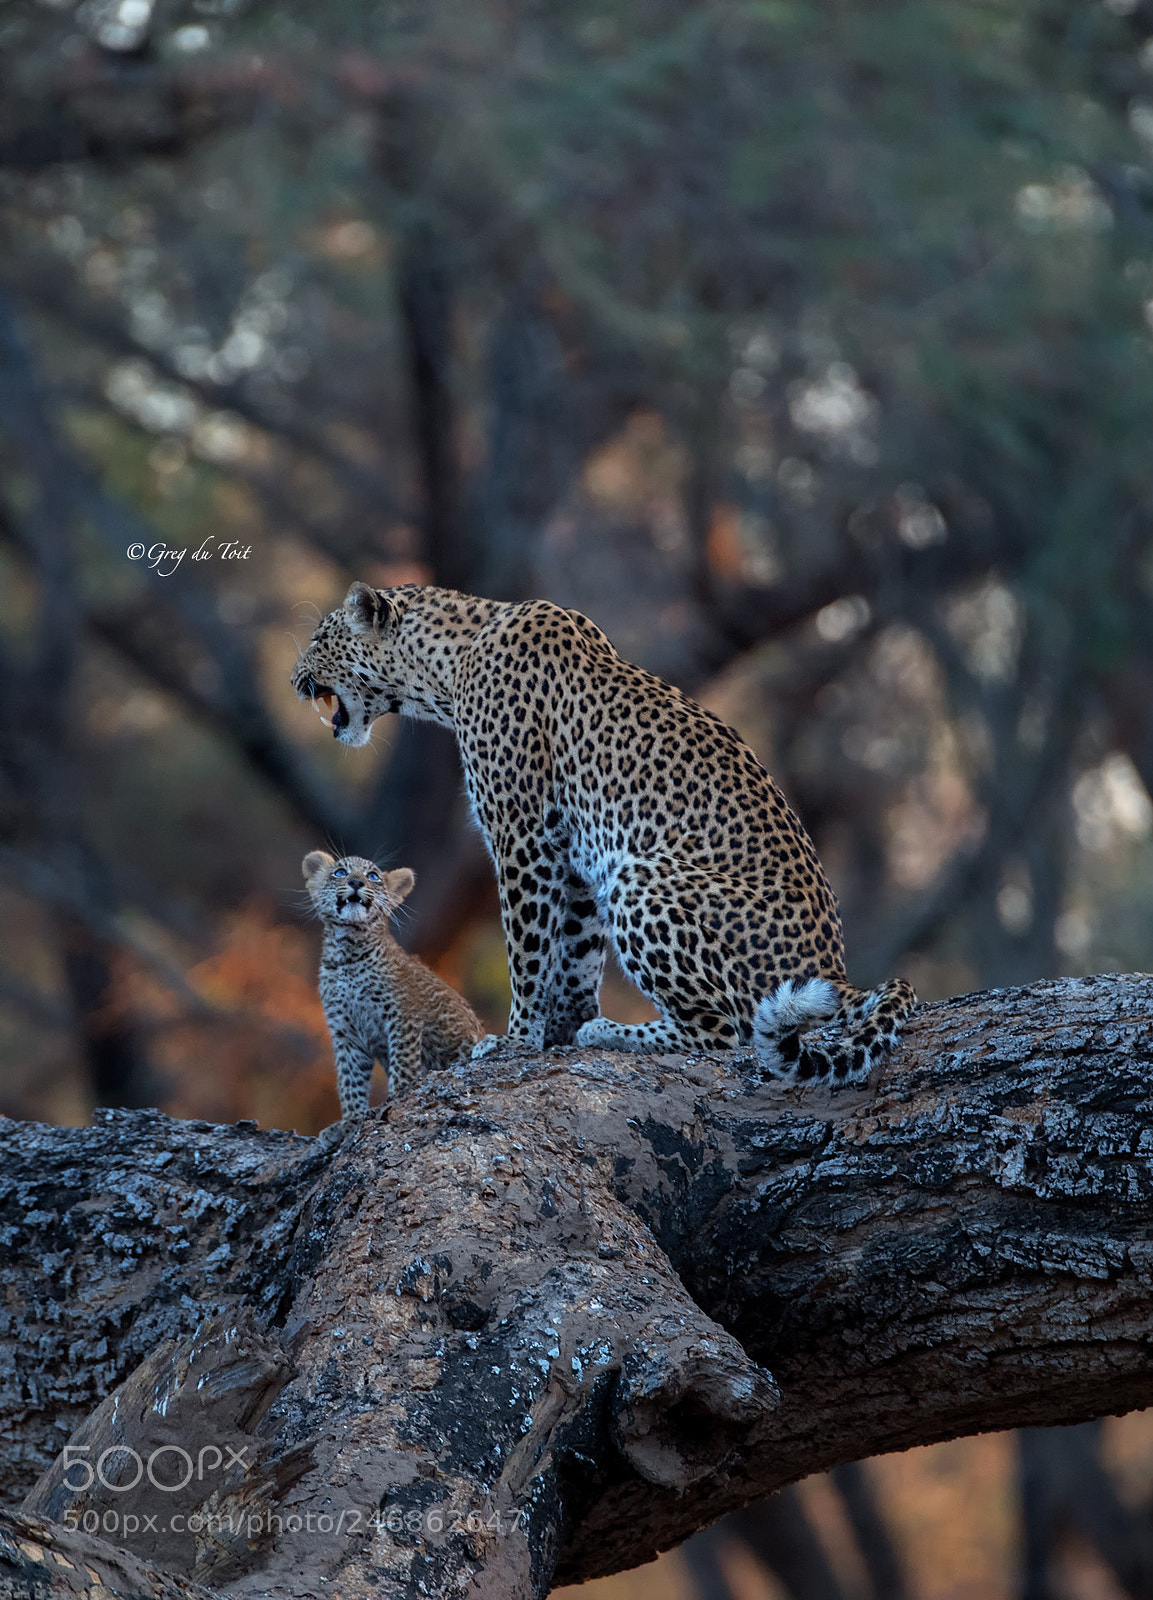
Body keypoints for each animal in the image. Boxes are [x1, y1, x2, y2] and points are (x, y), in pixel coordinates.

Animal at [292, 585, 916, 1084]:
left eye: (320, 637)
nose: (294, 678)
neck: (445, 666)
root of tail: (836, 970)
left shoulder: (522, 834)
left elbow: (527, 948)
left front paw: (515, 1040)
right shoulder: (571, 852)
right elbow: (573, 950)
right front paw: (561, 1030)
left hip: (641, 876)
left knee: (728, 1029)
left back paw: (616, 1032)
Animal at [303, 849, 484, 1138]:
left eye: (373, 876)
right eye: (340, 872)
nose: (356, 882)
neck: (347, 952)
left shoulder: (401, 1015)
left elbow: (403, 1060)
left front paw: (398, 1096)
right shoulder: (345, 1030)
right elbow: (349, 1079)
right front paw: (349, 1122)